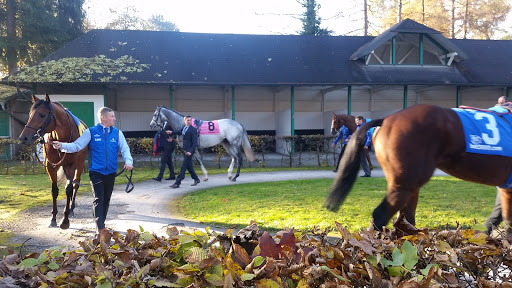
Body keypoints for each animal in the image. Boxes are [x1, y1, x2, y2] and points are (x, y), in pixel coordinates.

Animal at [17, 94, 87, 230]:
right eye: (30, 114)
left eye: (42, 115)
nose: (24, 138)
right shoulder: (51, 166)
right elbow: (54, 190)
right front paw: (53, 218)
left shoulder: (71, 165)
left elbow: (69, 189)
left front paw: (65, 220)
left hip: (80, 164)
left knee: (75, 185)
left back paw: (72, 208)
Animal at [324, 104, 512, 235]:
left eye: (334, 121)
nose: (332, 130)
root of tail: (387, 119)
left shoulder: (506, 187)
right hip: (405, 183)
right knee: (381, 215)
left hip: (409, 185)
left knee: (405, 221)